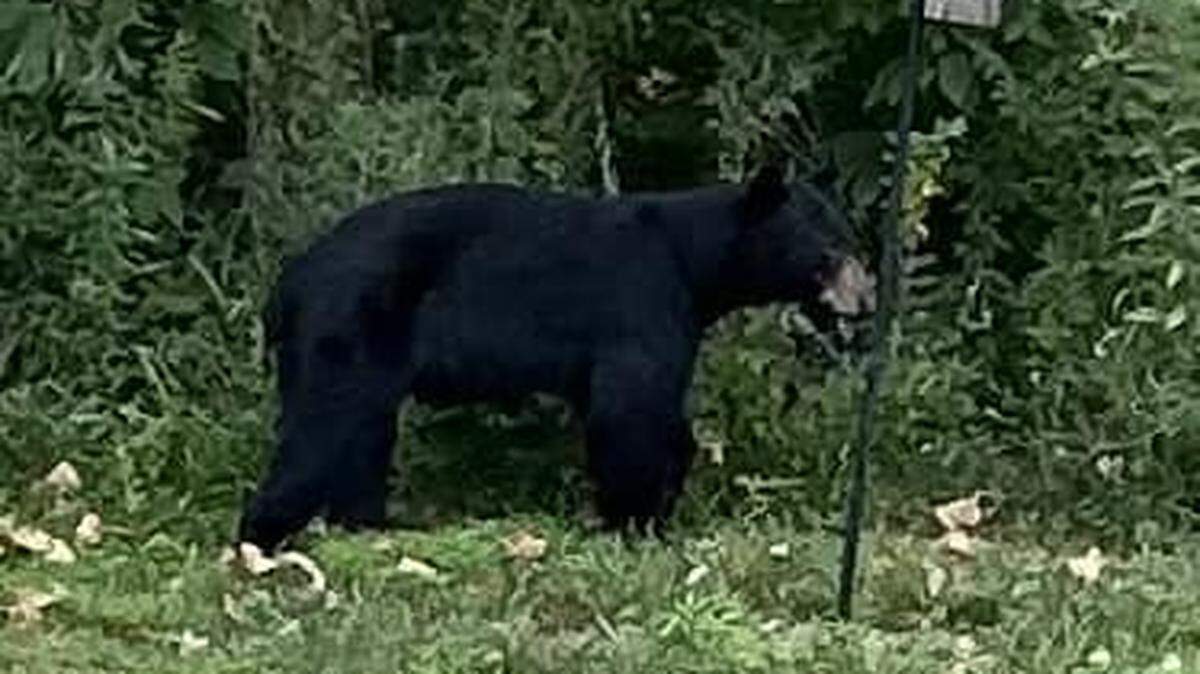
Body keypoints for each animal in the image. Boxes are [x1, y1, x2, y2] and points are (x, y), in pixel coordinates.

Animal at [237, 166, 875, 550]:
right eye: (830, 248)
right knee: (321, 433)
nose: (867, 296)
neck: (693, 259)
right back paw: (261, 543)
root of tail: (286, 285)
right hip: (348, 330)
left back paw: (370, 528)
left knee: (362, 439)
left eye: (847, 239)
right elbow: (631, 409)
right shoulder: (640, 300)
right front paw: (633, 522)